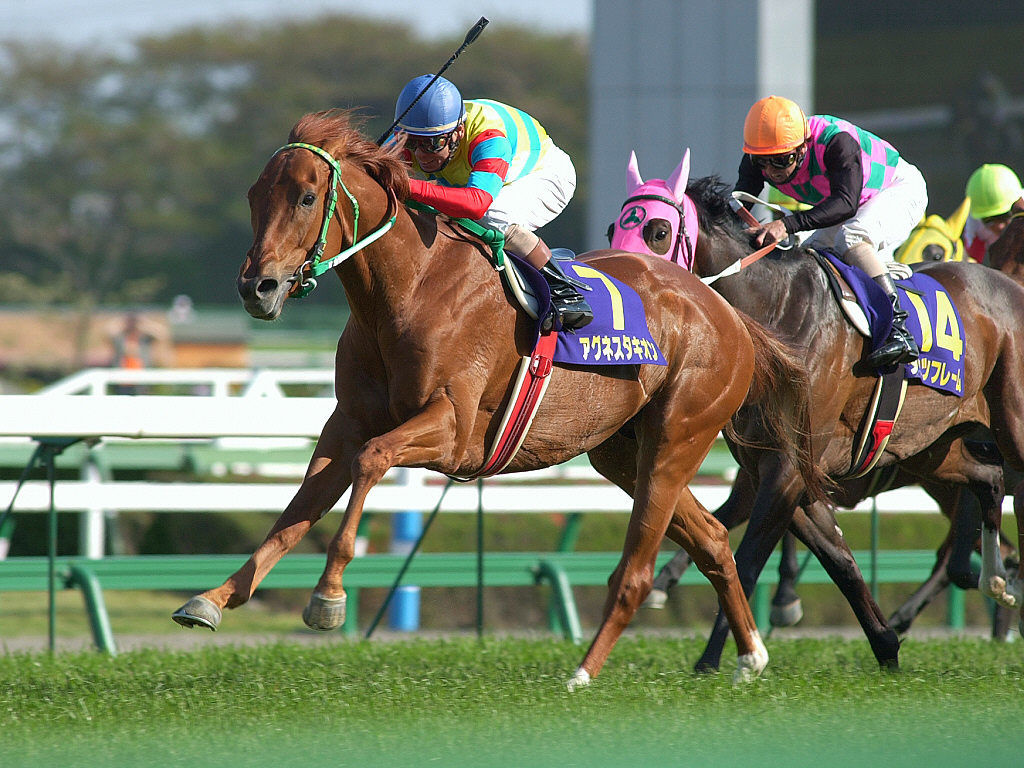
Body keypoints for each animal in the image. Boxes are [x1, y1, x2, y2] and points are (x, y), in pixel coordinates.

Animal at [169, 110, 830, 688]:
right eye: (255, 196)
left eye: (307, 198)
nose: (257, 287)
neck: (409, 287)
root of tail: (728, 313)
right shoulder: (347, 422)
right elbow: (295, 512)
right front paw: (213, 598)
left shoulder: (452, 428)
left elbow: (372, 461)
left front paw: (328, 597)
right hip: (621, 452)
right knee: (714, 540)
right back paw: (749, 658)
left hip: (677, 437)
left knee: (638, 572)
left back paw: (582, 674)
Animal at [609, 151, 1024, 672]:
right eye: (613, 228)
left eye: (658, 231)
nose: (620, 282)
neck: (778, 311)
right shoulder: (779, 469)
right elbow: (839, 561)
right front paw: (886, 646)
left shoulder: (786, 468)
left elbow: (746, 560)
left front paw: (723, 659)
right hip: (930, 448)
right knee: (986, 480)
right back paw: (993, 579)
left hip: (1007, 429)